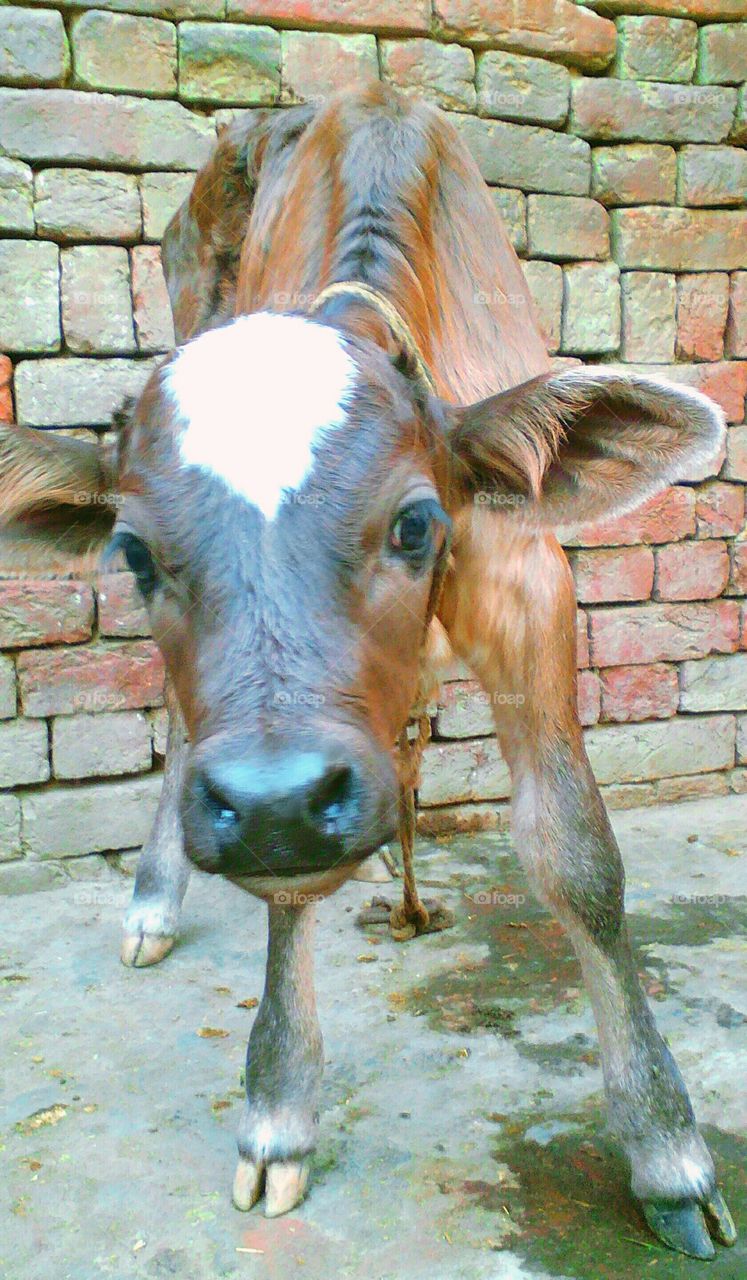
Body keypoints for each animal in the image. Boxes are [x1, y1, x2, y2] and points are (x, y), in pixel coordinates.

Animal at [0, 90, 736, 1259]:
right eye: (134, 554)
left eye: (415, 522)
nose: (275, 801)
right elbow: (288, 896)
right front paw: (277, 1107)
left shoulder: (529, 577)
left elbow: (579, 857)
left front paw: (668, 1151)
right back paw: (155, 898)